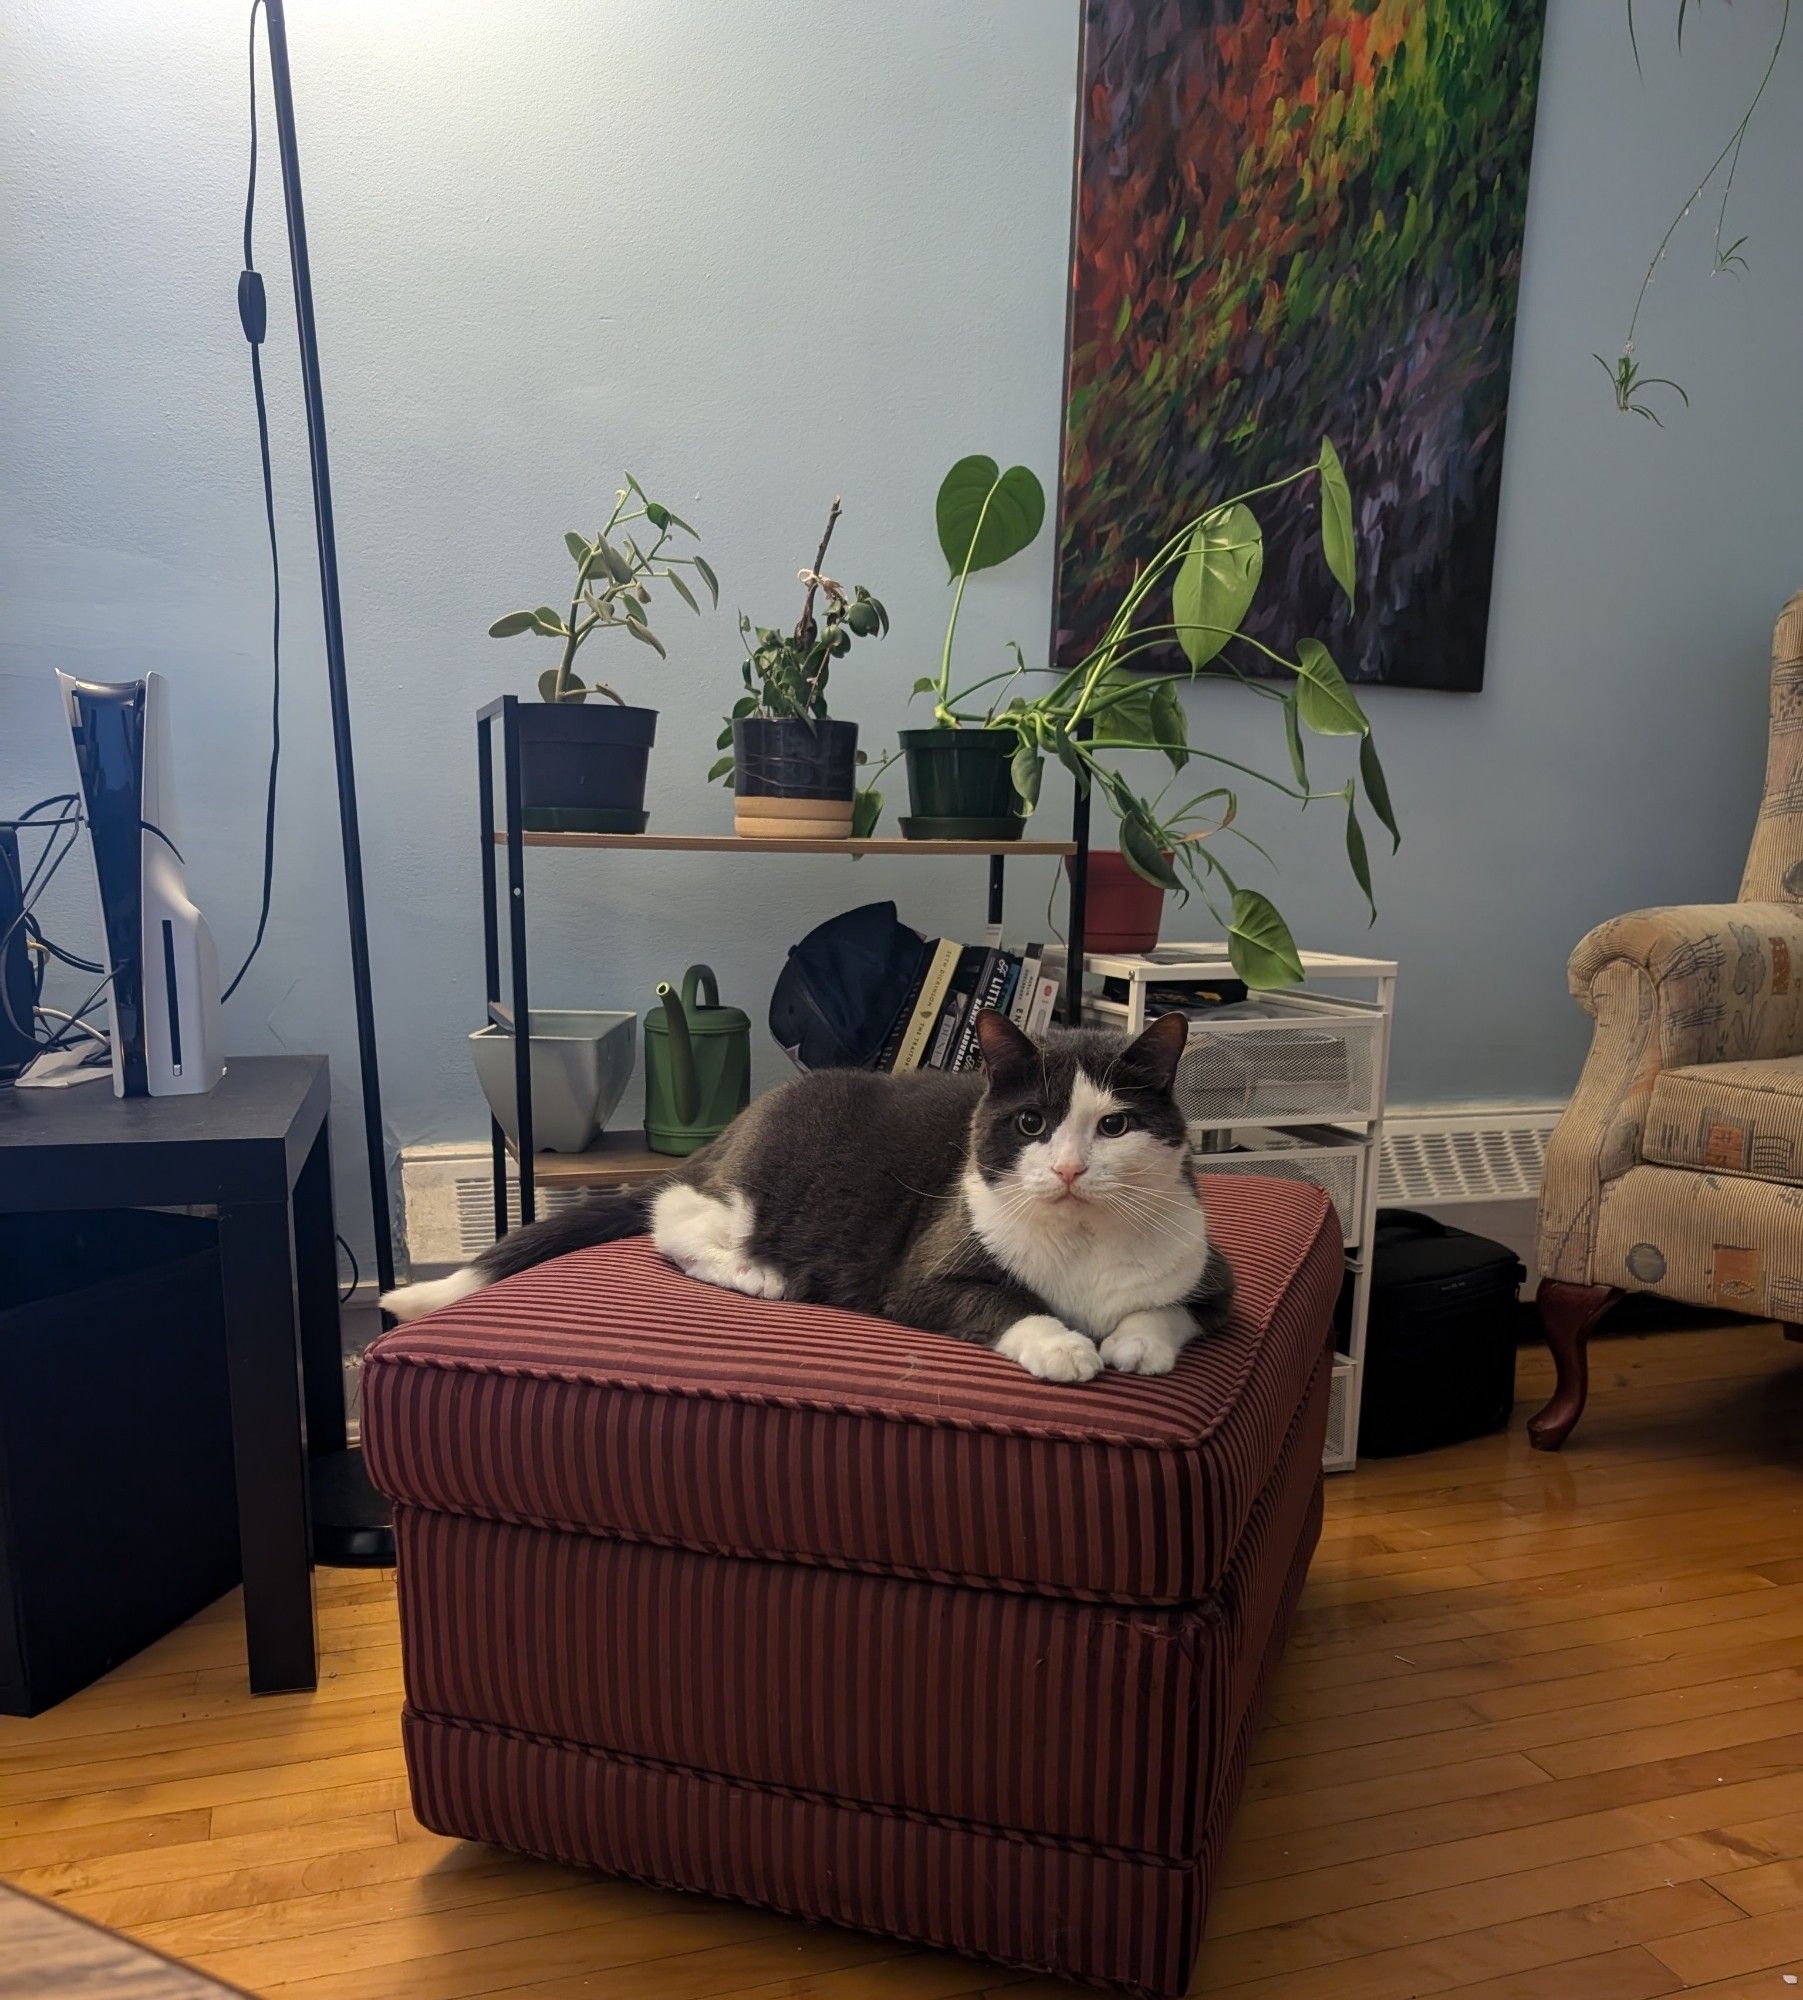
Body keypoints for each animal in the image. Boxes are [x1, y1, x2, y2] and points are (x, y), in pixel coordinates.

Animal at [385, 1008, 1231, 1384]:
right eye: (1033, 1123)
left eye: (1114, 1124)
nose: (1067, 1171)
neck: (1083, 1237)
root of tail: (733, 1128)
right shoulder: (923, 1273)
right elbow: (1000, 1302)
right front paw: (1062, 1346)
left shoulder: (1215, 1277)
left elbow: (1180, 1308)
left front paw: (1135, 1342)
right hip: (755, 1184)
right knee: (674, 1217)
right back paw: (758, 1274)